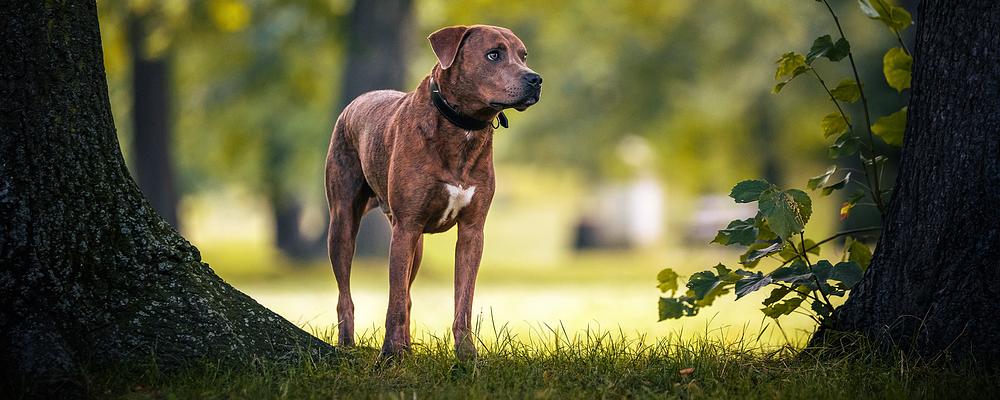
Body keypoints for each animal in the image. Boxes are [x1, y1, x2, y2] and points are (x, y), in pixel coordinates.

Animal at [324, 23, 544, 358]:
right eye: (493, 54)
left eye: (523, 55)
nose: (535, 79)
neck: (463, 127)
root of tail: (355, 101)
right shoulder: (406, 227)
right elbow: (394, 301)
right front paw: (389, 355)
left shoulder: (471, 232)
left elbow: (462, 301)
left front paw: (466, 355)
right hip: (344, 221)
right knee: (346, 294)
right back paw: (348, 346)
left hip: (416, 245)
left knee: (408, 295)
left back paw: (407, 348)